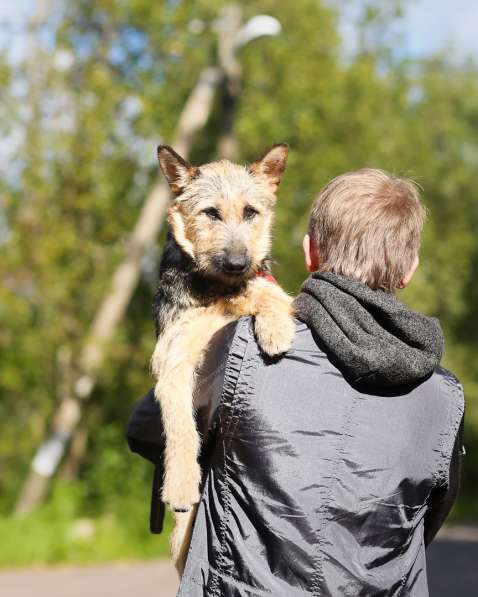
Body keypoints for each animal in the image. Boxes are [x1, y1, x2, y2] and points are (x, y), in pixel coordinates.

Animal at [152, 142, 296, 572]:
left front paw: (276, 325)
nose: (237, 262)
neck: (217, 290)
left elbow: (268, 292)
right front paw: (181, 483)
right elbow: (181, 425)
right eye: (210, 213)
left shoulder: (257, 287)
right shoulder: (172, 358)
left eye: (250, 212)